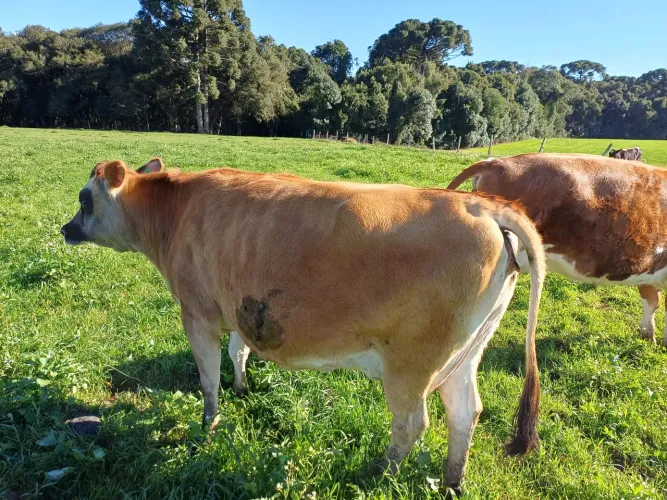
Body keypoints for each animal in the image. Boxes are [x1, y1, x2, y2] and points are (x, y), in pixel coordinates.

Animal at [61, 158, 545, 489]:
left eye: (85, 199)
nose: (66, 228)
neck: (174, 211)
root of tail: (479, 206)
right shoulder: (239, 304)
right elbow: (238, 350)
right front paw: (242, 388)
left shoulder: (196, 311)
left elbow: (208, 378)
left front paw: (207, 424)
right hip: (467, 354)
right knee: (465, 412)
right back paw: (451, 482)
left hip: (413, 362)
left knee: (412, 422)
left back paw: (378, 474)